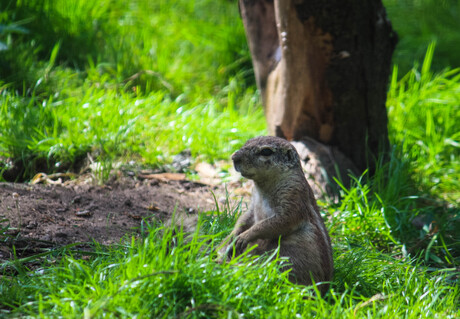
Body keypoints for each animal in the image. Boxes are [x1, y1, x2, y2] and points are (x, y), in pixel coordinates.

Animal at [222, 136, 332, 296]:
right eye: (247, 142)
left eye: (266, 151)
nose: (234, 157)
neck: (263, 186)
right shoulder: (253, 205)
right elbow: (245, 218)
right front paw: (232, 236)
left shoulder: (293, 196)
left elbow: (276, 223)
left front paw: (244, 237)